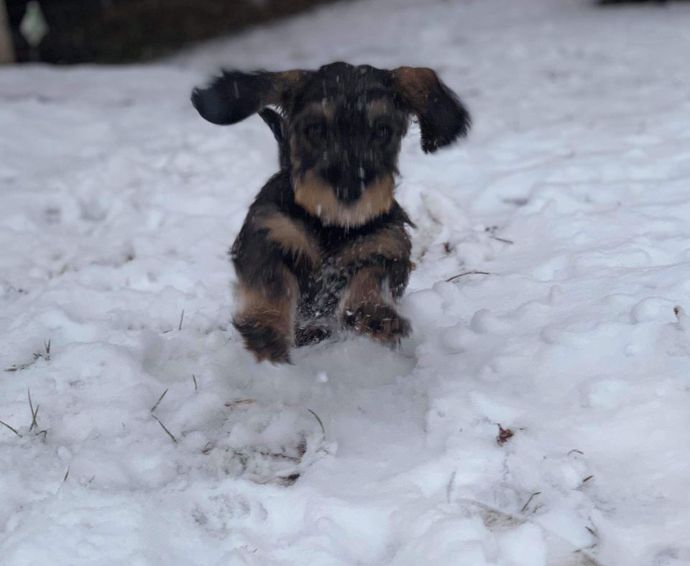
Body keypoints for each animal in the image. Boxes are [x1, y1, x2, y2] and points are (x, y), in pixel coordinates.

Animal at [189, 62, 468, 364]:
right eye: (315, 129)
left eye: (383, 130)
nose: (349, 191)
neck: (331, 225)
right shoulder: (268, 232)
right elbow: (273, 282)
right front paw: (265, 328)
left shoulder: (386, 248)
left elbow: (369, 280)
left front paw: (376, 316)